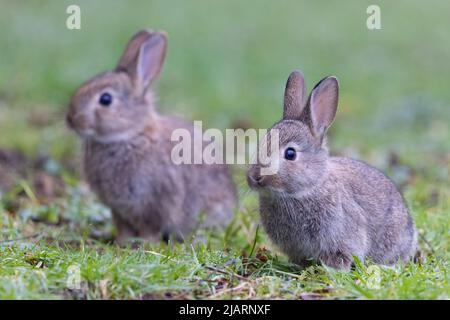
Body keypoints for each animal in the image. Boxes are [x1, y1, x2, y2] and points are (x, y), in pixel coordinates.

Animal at [67, 30, 237, 245]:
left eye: (106, 99)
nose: (71, 119)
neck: (131, 135)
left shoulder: (156, 200)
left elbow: (152, 227)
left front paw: (145, 243)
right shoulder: (118, 208)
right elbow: (123, 226)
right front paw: (121, 242)